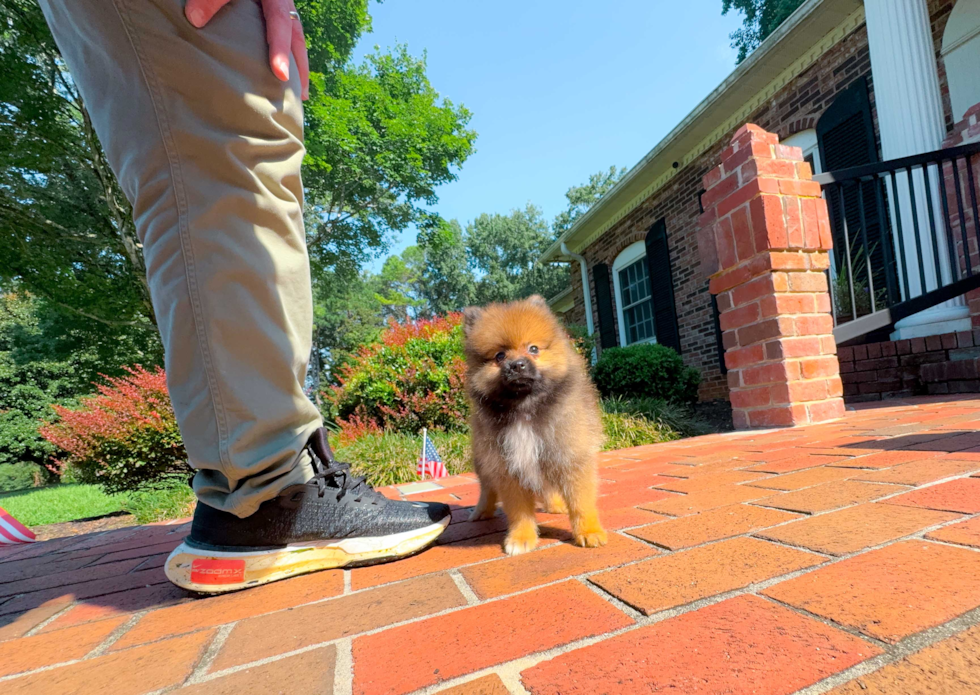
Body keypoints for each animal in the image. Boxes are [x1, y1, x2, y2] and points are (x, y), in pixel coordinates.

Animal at [462, 294, 604, 556]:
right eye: (500, 356)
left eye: (534, 349)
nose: (517, 364)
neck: (525, 410)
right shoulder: (509, 465)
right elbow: (519, 512)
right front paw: (521, 537)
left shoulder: (569, 456)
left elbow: (581, 502)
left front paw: (589, 532)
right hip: (485, 461)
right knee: (487, 489)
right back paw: (481, 511)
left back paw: (556, 505)